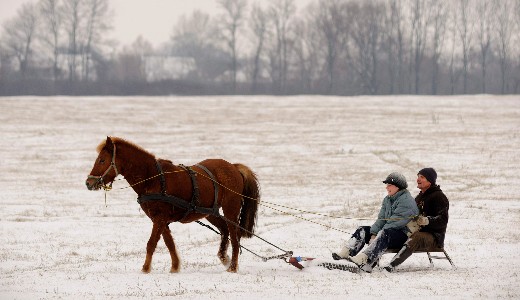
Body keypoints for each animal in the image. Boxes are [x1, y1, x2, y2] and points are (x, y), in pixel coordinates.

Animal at [85, 137, 260, 274]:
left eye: (102, 160)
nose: (88, 183)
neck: (153, 178)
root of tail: (233, 166)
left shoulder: (160, 218)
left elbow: (151, 243)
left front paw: (145, 269)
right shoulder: (161, 219)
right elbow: (169, 243)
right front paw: (175, 267)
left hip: (231, 209)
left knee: (234, 236)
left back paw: (232, 267)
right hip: (210, 212)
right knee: (224, 231)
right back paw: (224, 258)